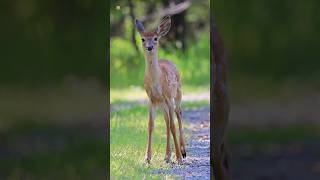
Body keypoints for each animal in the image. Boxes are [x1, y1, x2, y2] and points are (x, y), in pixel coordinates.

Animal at [136, 15, 186, 165]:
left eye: (156, 38)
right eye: (143, 39)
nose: (149, 47)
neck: (157, 82)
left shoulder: (169, 97)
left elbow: (173, 126)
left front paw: (179, 158)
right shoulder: (151, 99)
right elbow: (150, 125)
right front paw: (147, 158)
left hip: (178, 93)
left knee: (178, 113)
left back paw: (182, 151)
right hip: (162, 104)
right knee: (167, 121)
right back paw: (167, 156)